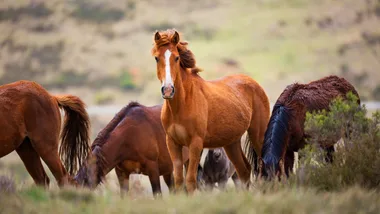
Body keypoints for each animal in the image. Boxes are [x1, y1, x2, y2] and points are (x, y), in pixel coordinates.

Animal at [151, 29, 270, 193]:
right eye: (157, 58)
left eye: (176, 57)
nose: (168, 90)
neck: (181, 105)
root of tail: (254, 83)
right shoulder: (173, 143)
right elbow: (179, 180)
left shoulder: (195, 144)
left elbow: (190, 180)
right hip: (231, 143)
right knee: (244, 170)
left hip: (258, 135)